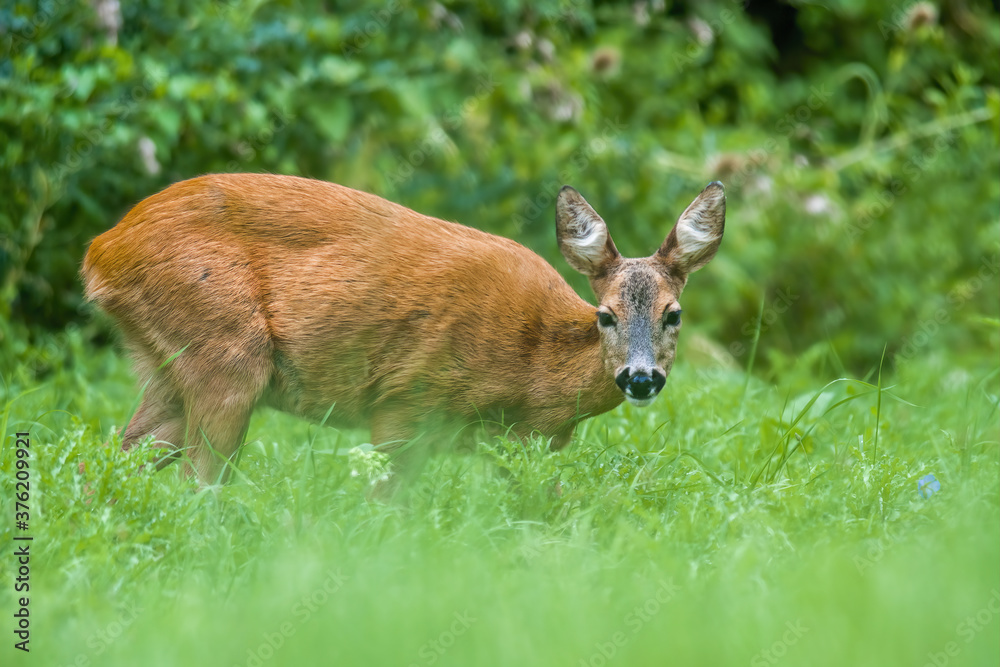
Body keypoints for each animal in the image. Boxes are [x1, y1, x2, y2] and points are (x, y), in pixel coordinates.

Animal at [82, 174, 725, 486]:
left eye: (673, 314)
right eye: (606, 315)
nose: (640, 378)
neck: (534, 371)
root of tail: (103, 250)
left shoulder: (512, 443)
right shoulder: (406, 401)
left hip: (169, 362)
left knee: (109, 461)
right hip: (226, 350)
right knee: (198, 483)